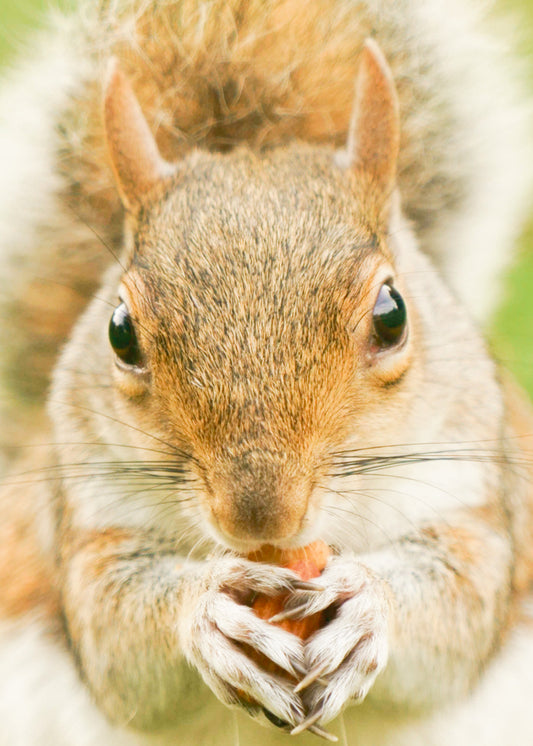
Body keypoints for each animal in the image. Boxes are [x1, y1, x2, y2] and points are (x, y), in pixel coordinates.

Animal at [1, 0, 533, 744]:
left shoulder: (478, 503)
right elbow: (118, 643)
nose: (259, 516)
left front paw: (370, 603)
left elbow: (460, 613)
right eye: (119, 332)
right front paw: (206, 613)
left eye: (393, 314)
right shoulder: (85, 531)